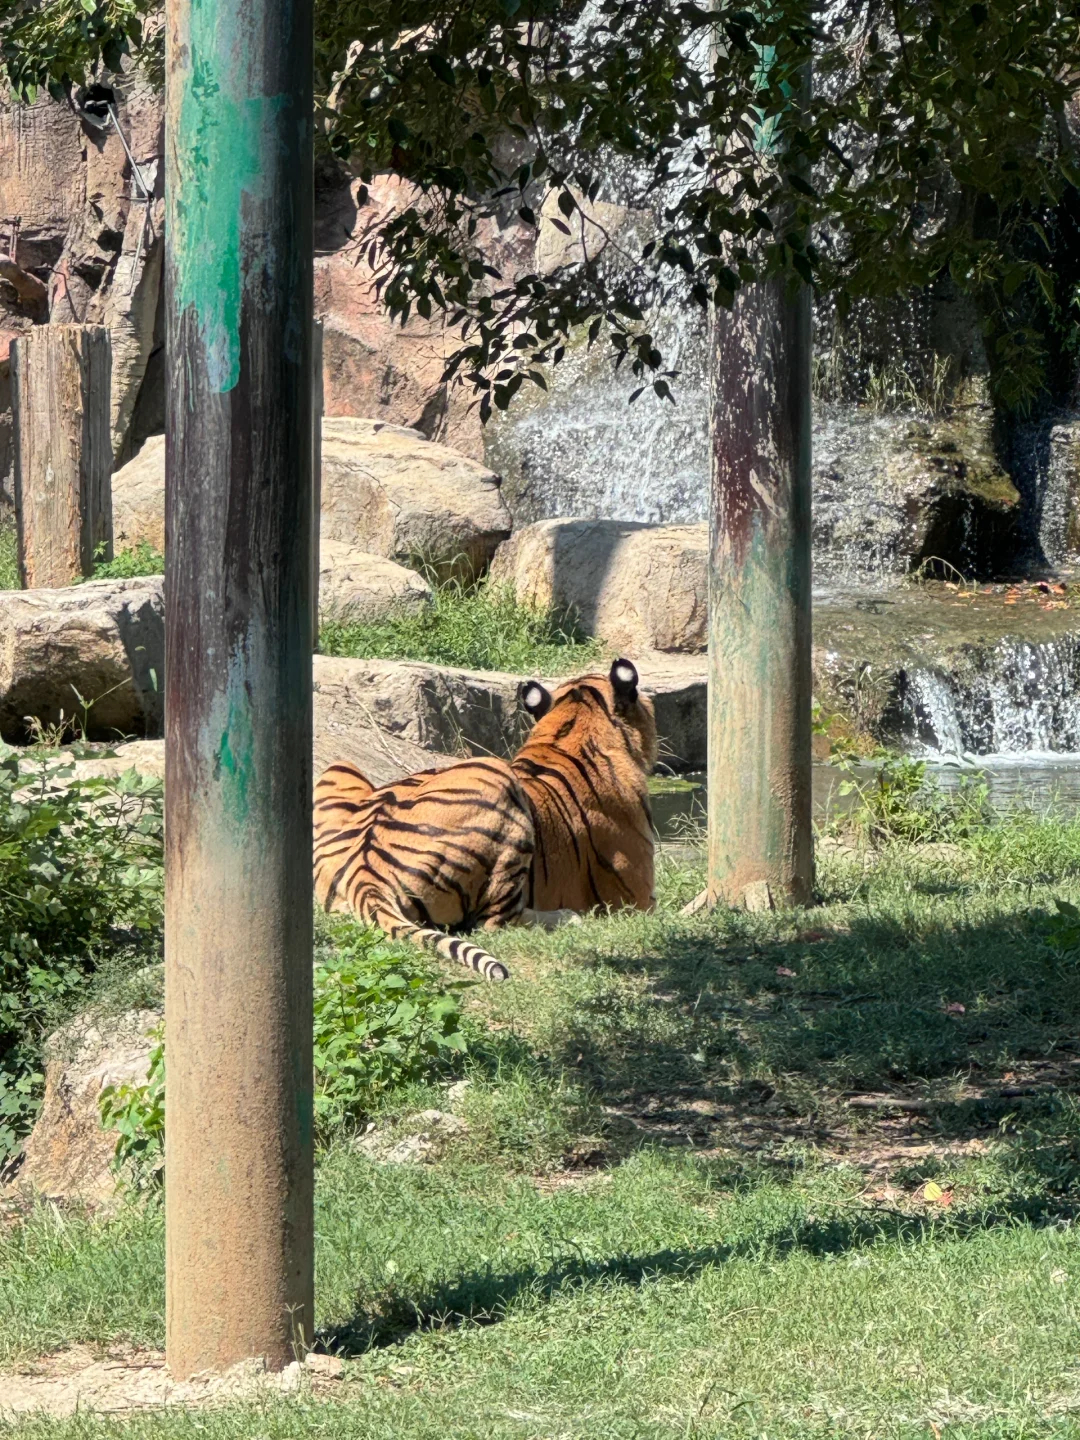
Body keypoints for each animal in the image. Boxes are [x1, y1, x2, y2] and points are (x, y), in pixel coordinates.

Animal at [312, 659, 659, 979]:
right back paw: (567, 917)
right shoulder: (638, 899)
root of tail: (363, 871)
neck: (568, 730)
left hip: (340, 768)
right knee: (493, 923)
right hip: (496, 778)